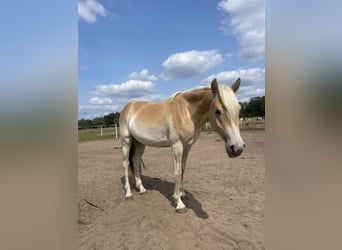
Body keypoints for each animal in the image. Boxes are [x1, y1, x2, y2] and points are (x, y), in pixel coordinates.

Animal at [119, 77, 244, 212]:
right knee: (126, 164)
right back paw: (128, 194)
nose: (237, 148)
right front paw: (179, 202)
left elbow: (183, 168)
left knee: (135, 161)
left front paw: (182, 193)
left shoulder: (187, 146)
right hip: (126, 141)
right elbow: (177, 172)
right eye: (217, 110)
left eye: (238, 109)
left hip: (140, 143)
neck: (186, 112)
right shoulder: (177, 146)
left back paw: (141, 189)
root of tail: (128, 106)